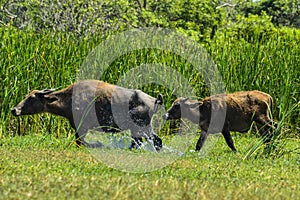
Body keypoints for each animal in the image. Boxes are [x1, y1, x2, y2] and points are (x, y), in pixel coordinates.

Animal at [10, 79, 164, 150]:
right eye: (27, 95)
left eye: (32, 98)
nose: (14, 110)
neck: (69, 99)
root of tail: (154, 101)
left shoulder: (81, 127)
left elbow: (81, 142)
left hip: (142, 127)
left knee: (155, 141)